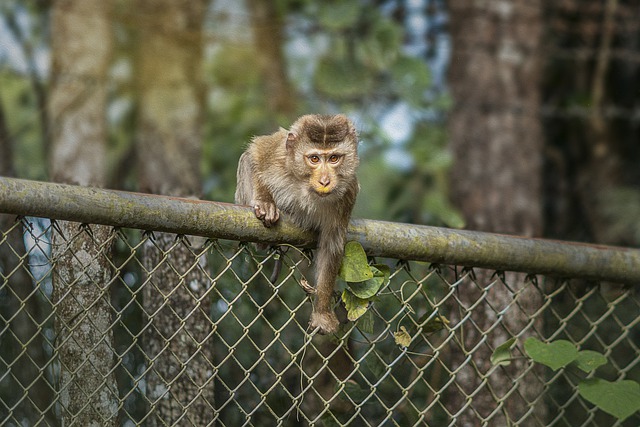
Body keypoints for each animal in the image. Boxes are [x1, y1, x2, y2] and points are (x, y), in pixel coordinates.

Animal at [236, 115, 360, 336]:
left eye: (334, 158)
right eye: (314, 159)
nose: (325, 181)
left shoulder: (348, 193)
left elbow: (331, 246)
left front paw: (321, 312)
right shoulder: (279, 155)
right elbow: (254, 154)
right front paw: (265, 201)